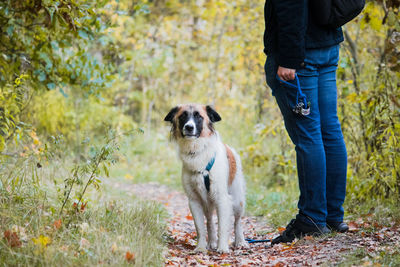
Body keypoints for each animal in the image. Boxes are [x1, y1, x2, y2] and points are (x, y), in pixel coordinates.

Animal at [163, 104, 247, 253]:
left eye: (199, 116)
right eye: (183, 116)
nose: (189, 127)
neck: (196, 152)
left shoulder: (222, 198)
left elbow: (223, 226)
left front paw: (222, 248)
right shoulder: (194, 200)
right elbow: (200, 228)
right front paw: (201, 247)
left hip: (237, 200)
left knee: (237, 221)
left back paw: (240, 241)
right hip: (207, 202)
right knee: (209, 221)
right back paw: (212, 242)